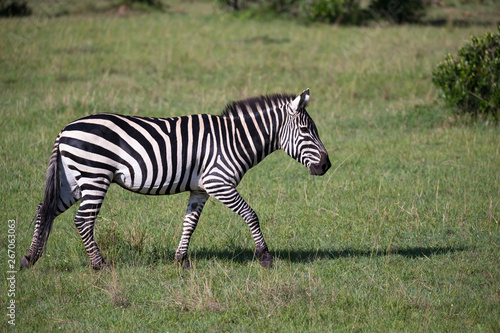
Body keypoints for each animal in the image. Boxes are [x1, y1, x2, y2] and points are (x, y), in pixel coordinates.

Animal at [21, 88, 330, 270]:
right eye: (306, 130)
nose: (326, 165)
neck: (234, 139)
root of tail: (64, 129)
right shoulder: (219, 182)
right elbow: (251, 214)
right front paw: (264, 256)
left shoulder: (201, 188)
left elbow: (189, 223)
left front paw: (181, 260)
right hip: (94, 176)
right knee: (82, 220)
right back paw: (100, 265)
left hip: (73, 180)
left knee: (44, 209)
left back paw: (29, 258)